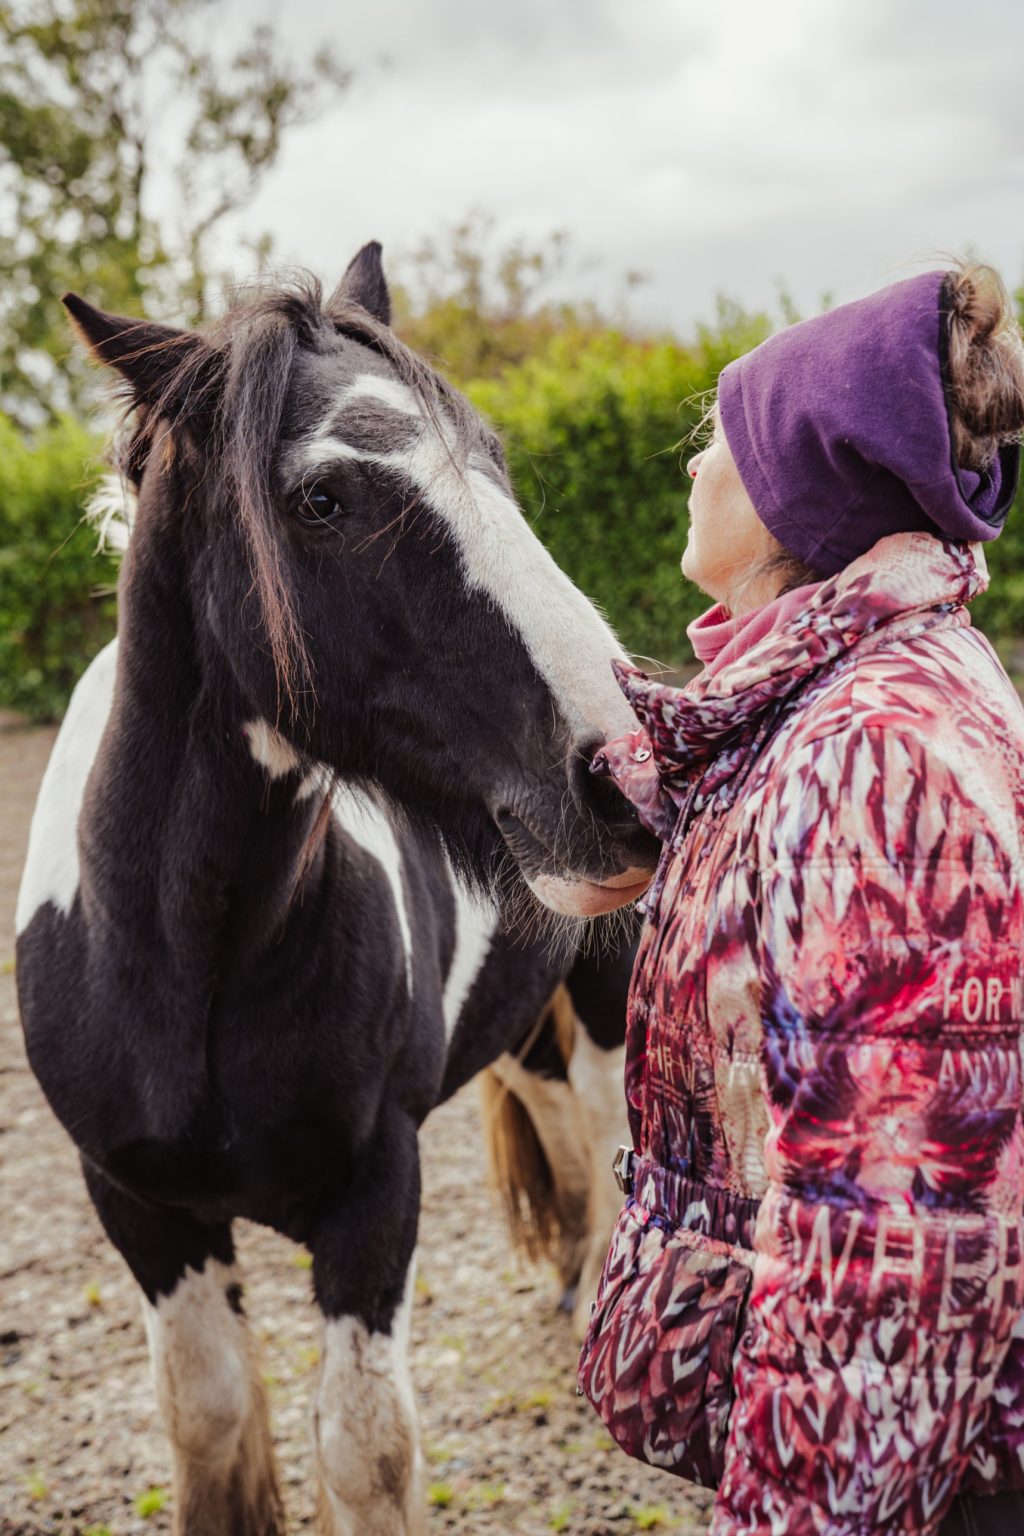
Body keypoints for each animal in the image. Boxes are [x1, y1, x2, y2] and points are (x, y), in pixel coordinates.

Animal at [15, 242, 656, 1536]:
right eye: (322, 500)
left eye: (493, 460)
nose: (625, 769)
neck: (188, 953)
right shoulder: (143, 1209)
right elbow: (210, 1421)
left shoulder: (374, 1192)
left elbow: (366, 1451)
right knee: (550, 1105)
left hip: (605, 996)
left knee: (601, 1122)